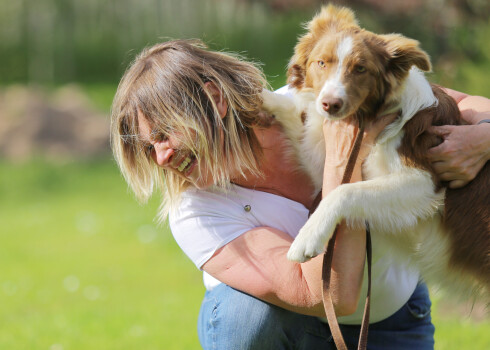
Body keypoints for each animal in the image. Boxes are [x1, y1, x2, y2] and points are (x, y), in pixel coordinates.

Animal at [264, 4, 490, 296]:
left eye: (360, 69)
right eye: (321, 63)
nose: (330, 104)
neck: (367, 117)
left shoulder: (424, 181)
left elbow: (343, 191)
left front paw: (308, 237)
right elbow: (295, 116)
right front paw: (255, 95)